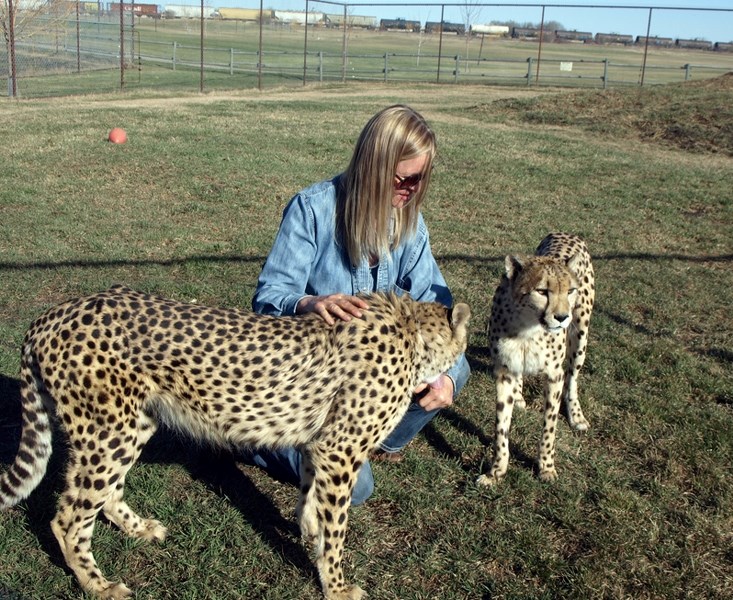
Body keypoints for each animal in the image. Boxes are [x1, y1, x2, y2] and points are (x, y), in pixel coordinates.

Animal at [0, 286, 468, 600]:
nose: (456, 369)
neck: (411, 333)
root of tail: (54, 313)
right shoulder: (341, 449)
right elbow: (336, 528)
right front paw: (335, 584)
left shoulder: (319, 444)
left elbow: (310, 495)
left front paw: (308, 533)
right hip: (109, 429)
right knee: (68, 519)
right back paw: (99, 585)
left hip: (132, 424)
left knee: (104, 494)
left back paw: (139, 529)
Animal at [474, 232, 596, 486]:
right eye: (542, 291)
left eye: (570, 290)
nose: (562, 317)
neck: (527, 327)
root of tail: (565, 233)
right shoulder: (504, 372)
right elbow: (501, 427)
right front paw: (496, 471)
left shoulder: (554, 376)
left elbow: (549, 426)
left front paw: (546, 467)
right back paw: (520, 396)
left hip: (581, 332)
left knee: (573, 376)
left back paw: (576, 415)